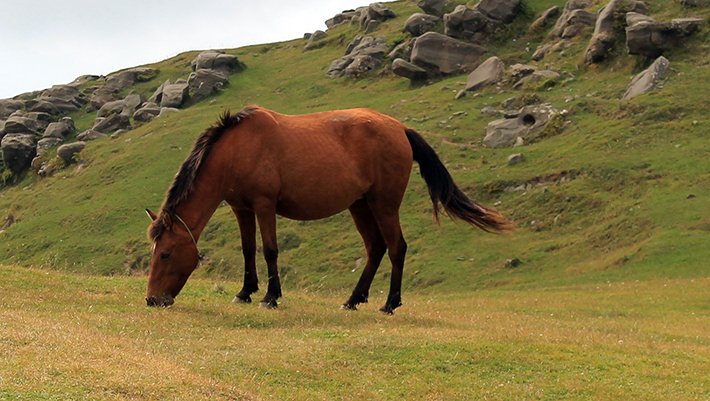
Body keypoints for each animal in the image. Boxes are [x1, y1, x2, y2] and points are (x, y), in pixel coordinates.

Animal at [145, 105, 512, 312]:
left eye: (165, 253)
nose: (152, 300)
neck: (238, 149)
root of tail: (399, 129)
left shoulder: (264, 205)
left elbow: (269, 250)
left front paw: (270, 297)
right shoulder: (241, 208)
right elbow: (248, 250)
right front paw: (245, 292)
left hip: (383, 205)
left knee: (396, 248)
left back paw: (389, 304)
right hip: (360, 206)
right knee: (376, 248)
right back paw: (353, 299)